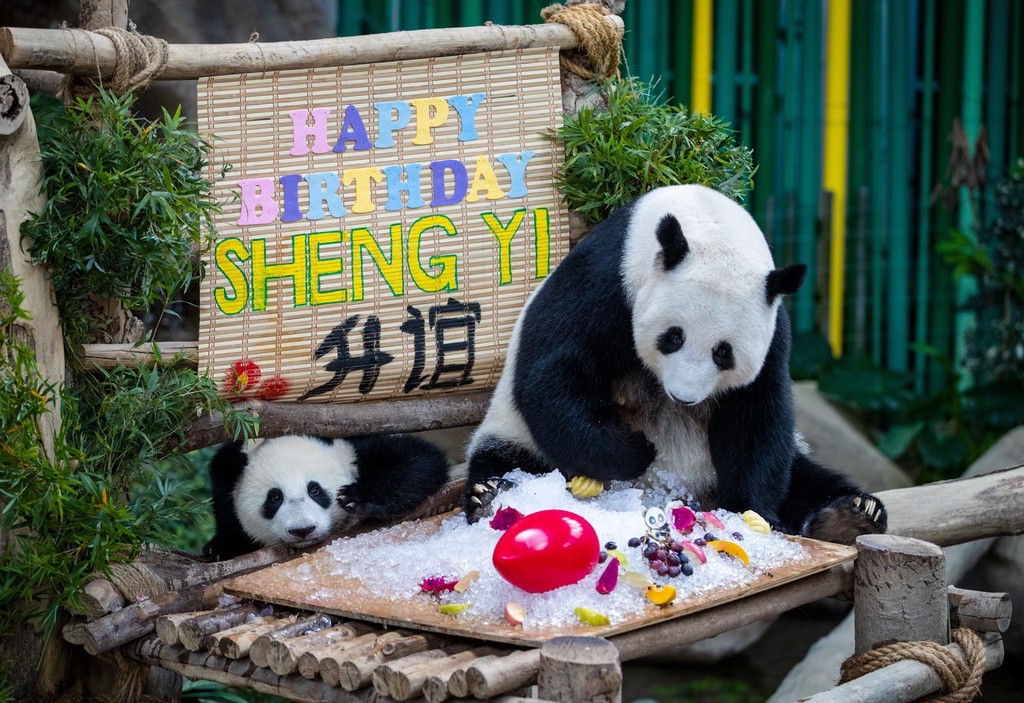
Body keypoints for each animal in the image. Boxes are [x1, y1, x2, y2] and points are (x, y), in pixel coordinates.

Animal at [203, 433, 448, 560]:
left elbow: (417, 460)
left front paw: (358, 498)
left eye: (315, 490)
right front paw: (220, 548)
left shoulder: (355, 445)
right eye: (275, 498)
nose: (302, 530)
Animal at [466, 183, 888, 544]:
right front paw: (633, 450)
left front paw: (751, 512)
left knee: (806, 478)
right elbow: (552, 375)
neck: (706, 220)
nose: (683, 397)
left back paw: (852, 515)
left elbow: (756, 417)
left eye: (724, 352)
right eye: (674, 337)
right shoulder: (606, 281)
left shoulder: (774, 332)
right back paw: (490, 498)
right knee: (506, 462)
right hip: (517, 438)